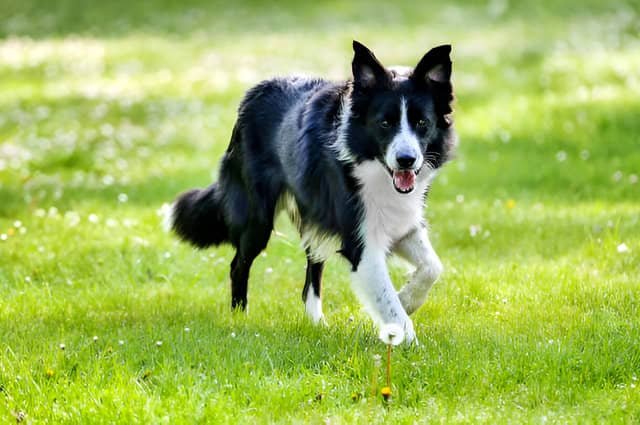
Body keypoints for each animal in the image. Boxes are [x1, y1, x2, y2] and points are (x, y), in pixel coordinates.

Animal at [168, 41, 452, 342]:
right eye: (384, 123)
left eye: (422, 123)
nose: (406, 160)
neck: (371, 164)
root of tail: (253, 93)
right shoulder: (360, 242)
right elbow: (389, 301)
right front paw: (405, 337)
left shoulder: (402, 222)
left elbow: (432, 267)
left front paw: (407, 298)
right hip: (257, 218)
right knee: (238, 265)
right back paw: (239, 320)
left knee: (313, 267)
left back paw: (316, 322)